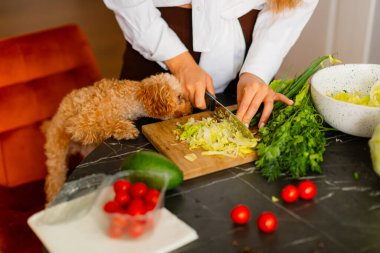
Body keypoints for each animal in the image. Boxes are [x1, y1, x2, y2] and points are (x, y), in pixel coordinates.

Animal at [42, 73, 191, 204]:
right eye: (179, 97)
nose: (189, 110)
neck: (131, 97)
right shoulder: (79, 124)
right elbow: (105, 123)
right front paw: (126, 129)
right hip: (57, 156)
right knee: (53, 181)